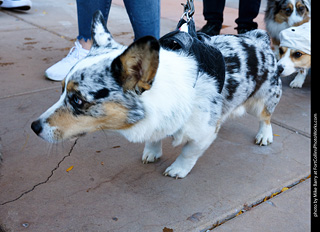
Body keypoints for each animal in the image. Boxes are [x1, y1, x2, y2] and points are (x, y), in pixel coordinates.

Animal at [31, 10, 282, 179]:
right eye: (61, 91)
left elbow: (189, 151)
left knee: (266, 117)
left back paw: (264, 136)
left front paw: (178, 169)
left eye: (77, 100)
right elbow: (154, 138)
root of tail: (259, 39)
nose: (34, 127)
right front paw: (152, 152)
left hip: (261, 101)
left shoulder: (203, 133)